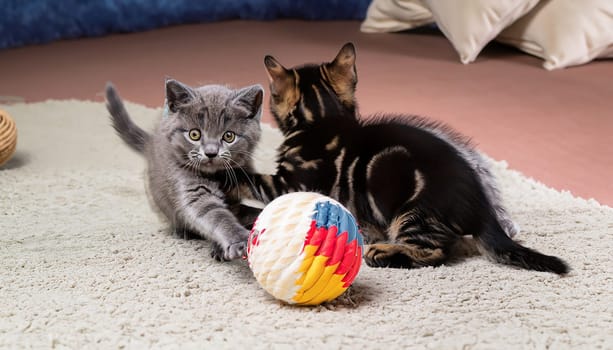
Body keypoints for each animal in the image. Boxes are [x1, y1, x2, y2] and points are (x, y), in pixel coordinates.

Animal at [105, 79, 262, 260]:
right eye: (194, 134)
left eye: (229, 136)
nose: (211, 152)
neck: (216, 176)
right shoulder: (186, 182)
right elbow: (213, 213)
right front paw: (238, 241)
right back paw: (183, 231)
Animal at [247, 43, 568, 274]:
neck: (322, 120)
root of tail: (482, 206)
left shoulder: (290, 183)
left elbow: (251, 178)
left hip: (413, 212)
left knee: (436, 253)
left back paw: (383, 252)